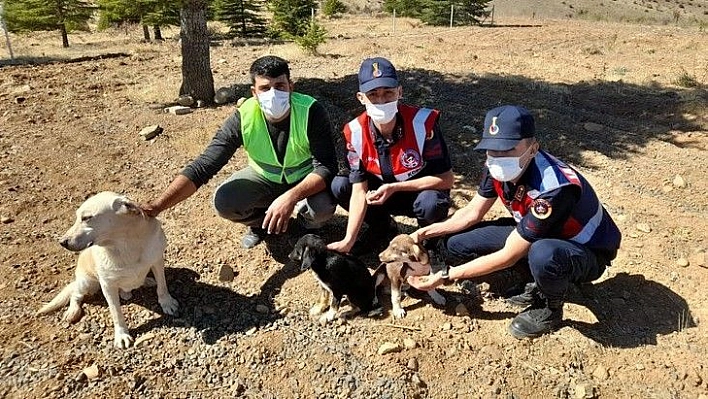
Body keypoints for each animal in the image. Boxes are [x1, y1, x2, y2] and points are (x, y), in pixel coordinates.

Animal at [37, 192, 178, 348]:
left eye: (86, 217)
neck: (124, 245)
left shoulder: (157, 261)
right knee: (75, 294)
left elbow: (162, 287)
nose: (62, 242)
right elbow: (116, 312)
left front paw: (167, 303)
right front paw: (121, 334)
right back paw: (72, 311)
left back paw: (143, 282)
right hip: (86, 282)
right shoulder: (107, 286)